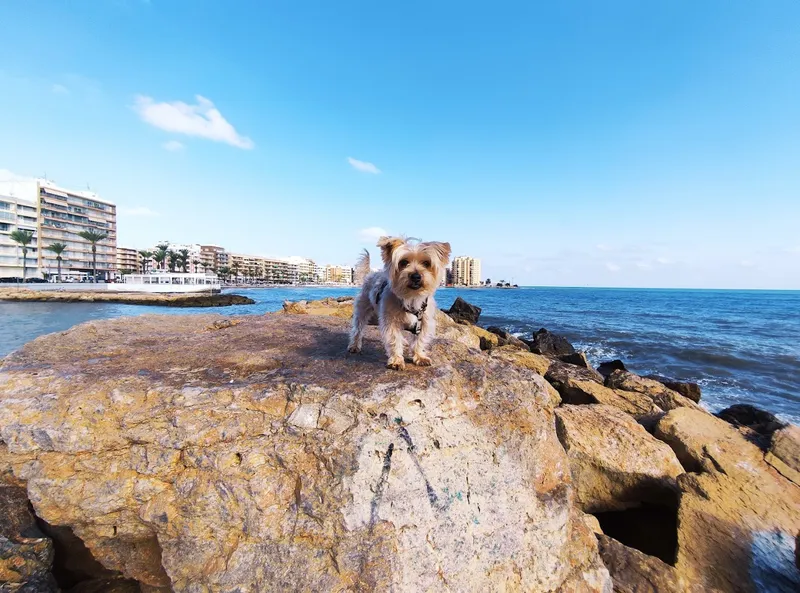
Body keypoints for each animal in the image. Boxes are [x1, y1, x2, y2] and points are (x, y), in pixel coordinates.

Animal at [348, 237, 454, 368]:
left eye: (426, 263)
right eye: (403, 262)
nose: (416, 276)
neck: (411, 297)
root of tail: (371, 273)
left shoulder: (424, 322)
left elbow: (420, 340)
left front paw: (419, 356)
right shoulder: (391, 320)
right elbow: (394, 339)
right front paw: (396, 360)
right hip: (362, 307)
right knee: (358, 327)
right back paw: (354, 345)